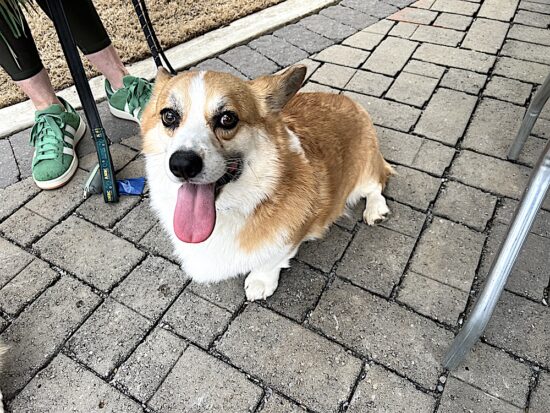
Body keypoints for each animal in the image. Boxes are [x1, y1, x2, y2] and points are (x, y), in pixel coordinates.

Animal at [142, 65, 393, 301]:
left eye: (227, 118)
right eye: (169, 116)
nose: (182, 164)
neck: (227, 210)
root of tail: (350, 101)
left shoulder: (294, 233)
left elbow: (273, 259)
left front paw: (260, 281)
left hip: (365, 169)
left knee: (377, 185)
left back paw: (375, 210)